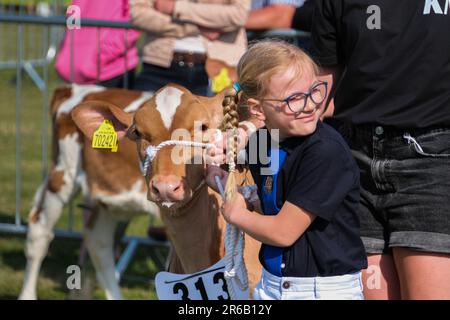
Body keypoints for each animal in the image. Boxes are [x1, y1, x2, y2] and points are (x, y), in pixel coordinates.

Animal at [18, 84, 158, 300]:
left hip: (106, 194)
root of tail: (75, 89)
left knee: (98, 241)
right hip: (64, 176)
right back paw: (27, 295)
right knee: (39, 231)